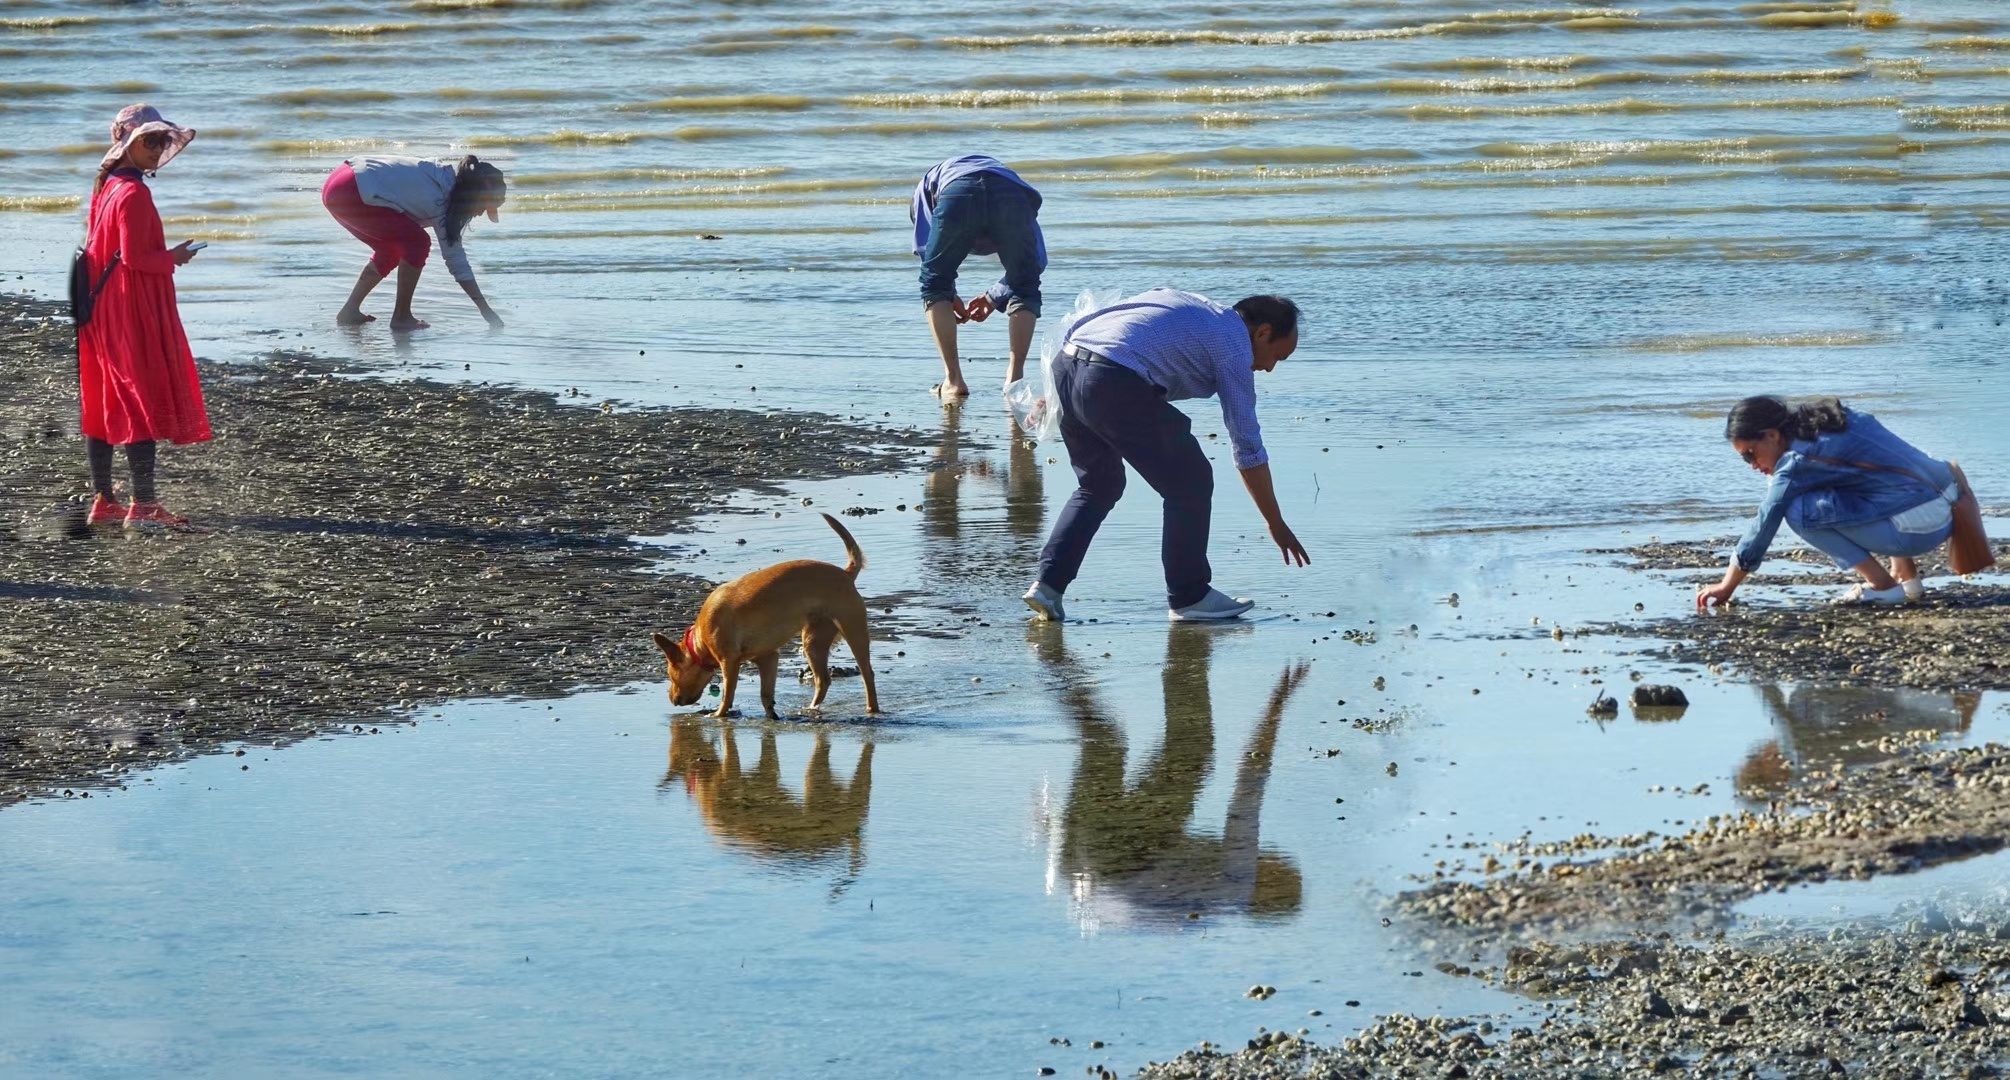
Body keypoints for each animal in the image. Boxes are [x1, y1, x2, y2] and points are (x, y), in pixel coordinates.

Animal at [651, 514, 880, 720]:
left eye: (670, 676)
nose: (672, 699)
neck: (700, 640)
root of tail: (846, 574)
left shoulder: (729, 662)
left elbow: (727, 694)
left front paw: (718, 715)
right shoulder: (768, 658)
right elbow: (766, 694)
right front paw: (771, 716)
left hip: (854, 632)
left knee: (867, 673)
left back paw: (872, 709)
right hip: (813, 643)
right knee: (823, 680)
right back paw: (811, 709)